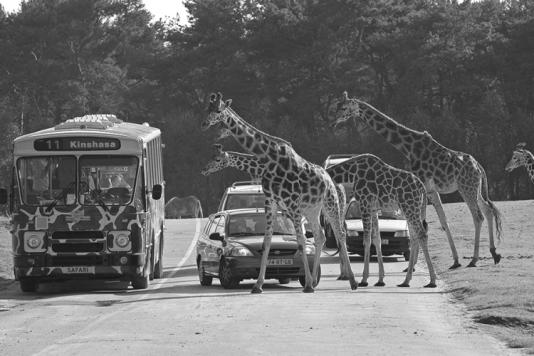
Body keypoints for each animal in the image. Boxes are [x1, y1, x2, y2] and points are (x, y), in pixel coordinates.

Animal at [202, 93, 360, 294]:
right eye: (207, 108)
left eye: (217, 110)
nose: (204, 124)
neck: (268, 158)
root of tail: (329, 179)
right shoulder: (271, 201)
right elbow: (267, 242)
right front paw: (258, 285)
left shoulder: (291, 202)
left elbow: (300, 242)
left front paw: (307, 285)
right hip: (312, 209)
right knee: (320, 236)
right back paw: (320, 280)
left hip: (330, 204)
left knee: (339, 233)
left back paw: (352, 281)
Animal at [328, 154, 438, 288]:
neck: (351, 173)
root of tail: (421, 186)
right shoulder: (374, 208)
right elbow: (377, 239)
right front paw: (380, 279)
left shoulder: (365, 203)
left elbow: (367, 239)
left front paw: (364, 280)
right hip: (411, 208)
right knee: (414, 237)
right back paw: (406, 281)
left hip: (410, 206)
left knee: (422, 235)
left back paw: (432, 281)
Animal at [338, 92, 504, 268]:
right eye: (338, 105)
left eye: (343, 108)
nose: (335, 119)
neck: (408, 147)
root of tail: (479, 167)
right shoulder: (430, 190)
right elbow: (442, 221)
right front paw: (455, 260)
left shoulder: (422, 185)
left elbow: (420, 223)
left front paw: (412, 265)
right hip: (475, 188)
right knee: (488, 210)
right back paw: (494, 253)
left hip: (466, 188)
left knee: (478, 216)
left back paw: (474, 259)